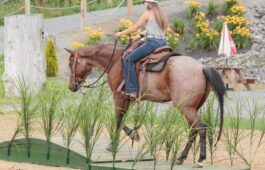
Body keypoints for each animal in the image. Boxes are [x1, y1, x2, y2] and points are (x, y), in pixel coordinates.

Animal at [65, 42, 225, 166]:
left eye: (70, 64)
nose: (71, 87)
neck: (115, 61)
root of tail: (202, 67)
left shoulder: (118, 96)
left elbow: (118, 118)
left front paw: (113, 144)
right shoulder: (128, 98)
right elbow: (122, 118)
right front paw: (132, 134)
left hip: (185, 108)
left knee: (201, 127)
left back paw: (200, 158)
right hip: (192, 108)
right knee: (193, 130)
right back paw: (181, 157)